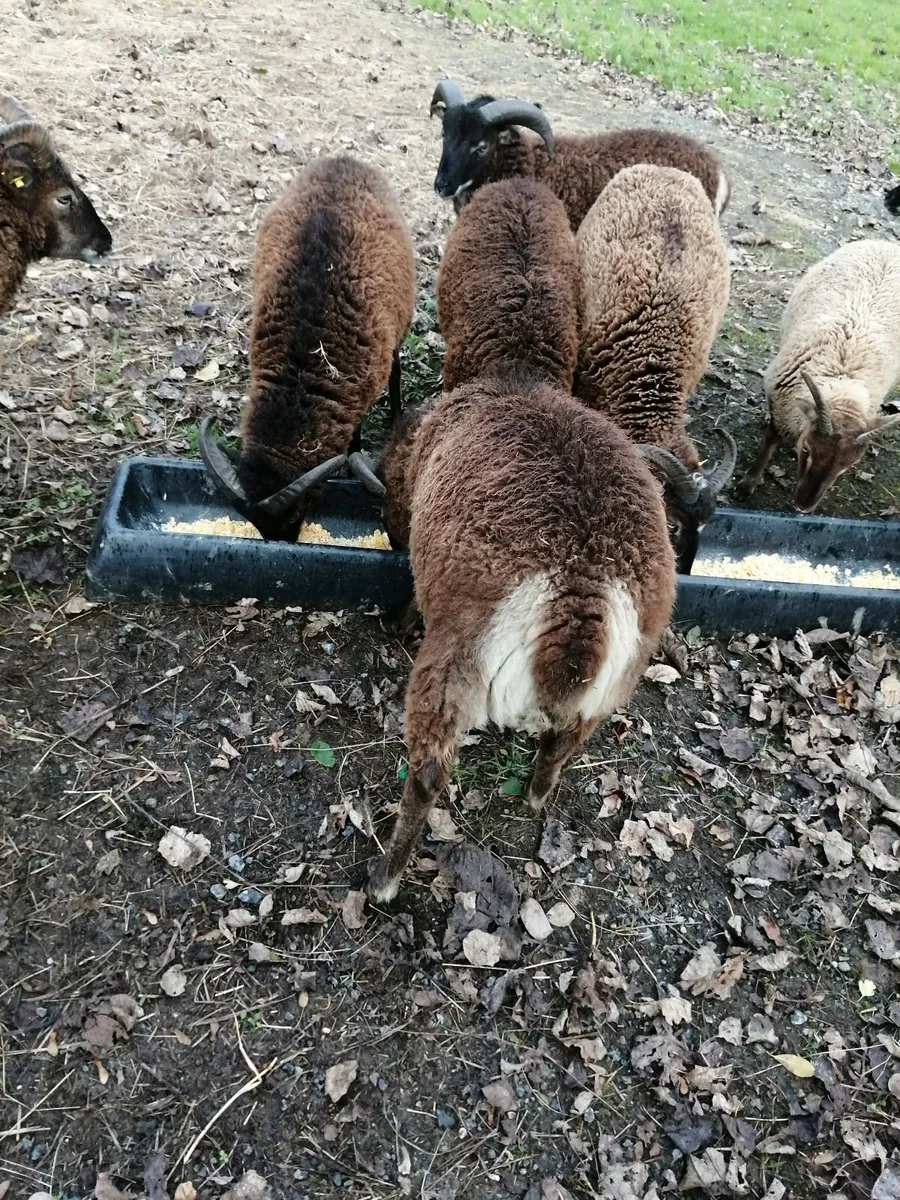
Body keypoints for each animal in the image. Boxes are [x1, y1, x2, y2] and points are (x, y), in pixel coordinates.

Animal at [368, 376, 676, 901]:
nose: (389, 527)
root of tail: (582, 593)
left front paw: (400, 619)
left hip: (455, 660)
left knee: (429, 772)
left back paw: (386, 878)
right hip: (614, 682)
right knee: (570, 736)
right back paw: (536, 791)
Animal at [740, 239, 900, 513]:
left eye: (846, 467)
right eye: (806, 449)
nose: (804, 506)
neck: (844, 381)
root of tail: (887, 243)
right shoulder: (779, 397)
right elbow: (771, 438)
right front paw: (749, 482)